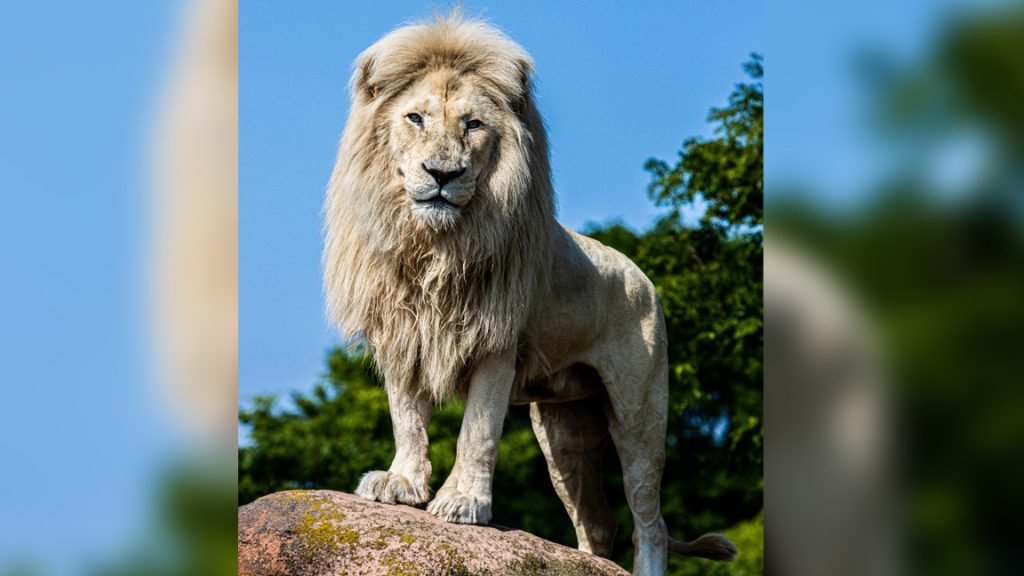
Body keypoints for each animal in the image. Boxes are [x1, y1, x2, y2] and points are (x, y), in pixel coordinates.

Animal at [322, 14, 737, 575]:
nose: (443, 175)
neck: (436, 246)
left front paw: (463, 503)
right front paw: (402, 484)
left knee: (650, 520)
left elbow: (478, 430)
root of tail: (641, 274)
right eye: (415, 118)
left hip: (640, 410)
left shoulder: (495, 342)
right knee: (597, 521)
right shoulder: (402, 335)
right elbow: (406, 418)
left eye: (473, 125)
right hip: (564, 431)